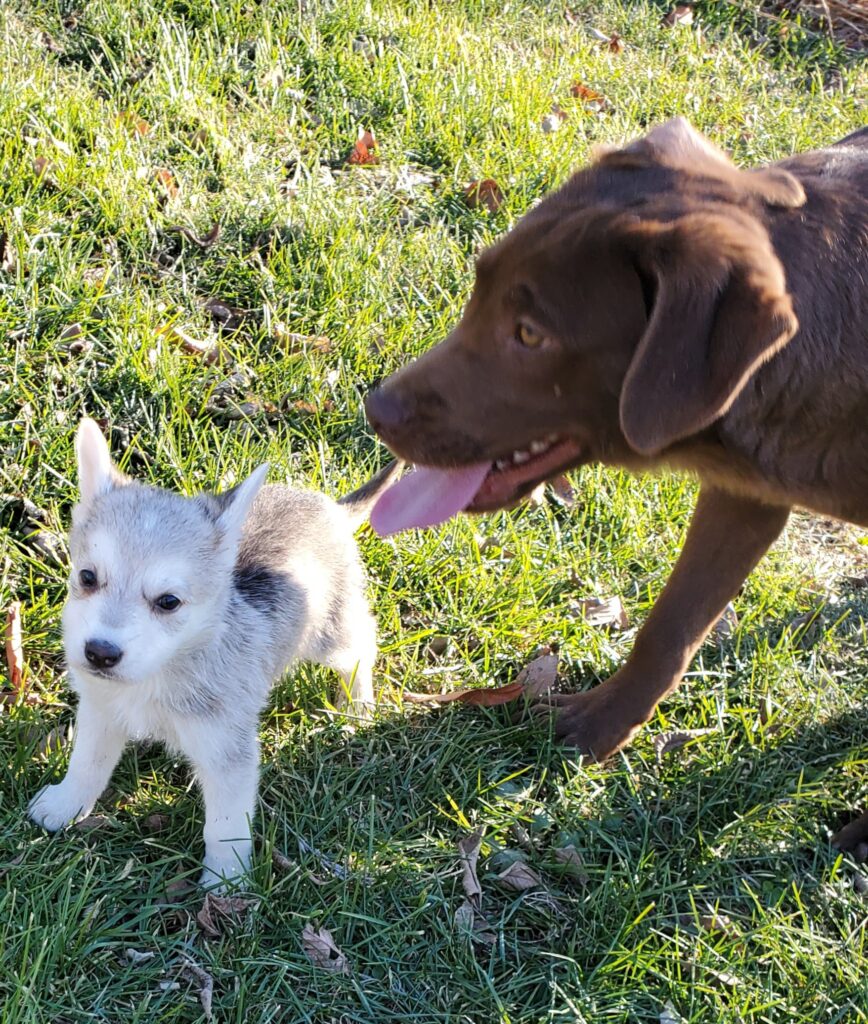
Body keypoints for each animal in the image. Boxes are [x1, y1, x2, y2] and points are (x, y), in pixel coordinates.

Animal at [28, 419, 397, 884]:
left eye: (168, 602)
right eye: (88, 577)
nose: (99, 653)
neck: (156, 676)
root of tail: (329, 506)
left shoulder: (228, 753)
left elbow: (225, 825)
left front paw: (227, 878)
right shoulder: (101, 712)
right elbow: (87, 765)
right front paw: (64, 805)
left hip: (330, 637)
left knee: (362, 644)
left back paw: (358, 704)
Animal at [364, 117, 868, 856]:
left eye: (529, 334)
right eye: (478, 286)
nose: (376, 411)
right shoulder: (746, 495)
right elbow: (668, 627)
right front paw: (600, 726)